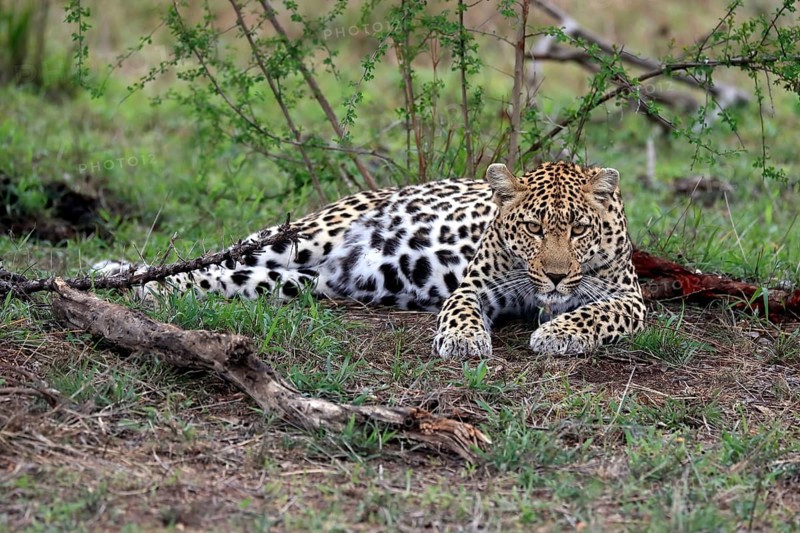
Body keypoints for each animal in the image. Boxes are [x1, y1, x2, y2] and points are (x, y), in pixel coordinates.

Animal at [95, 161, 646, 358]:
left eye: (578, 229)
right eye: (533, 229)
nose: (553, 276)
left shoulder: (630, 297)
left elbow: (595, 312)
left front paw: (559, 333)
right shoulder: (475, 287)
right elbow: (462, 312)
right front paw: (464, 341)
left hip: (292, 280)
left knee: (216, 276)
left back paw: (132, 284)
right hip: (298, 237)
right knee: (210, 259)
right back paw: (112, 276)